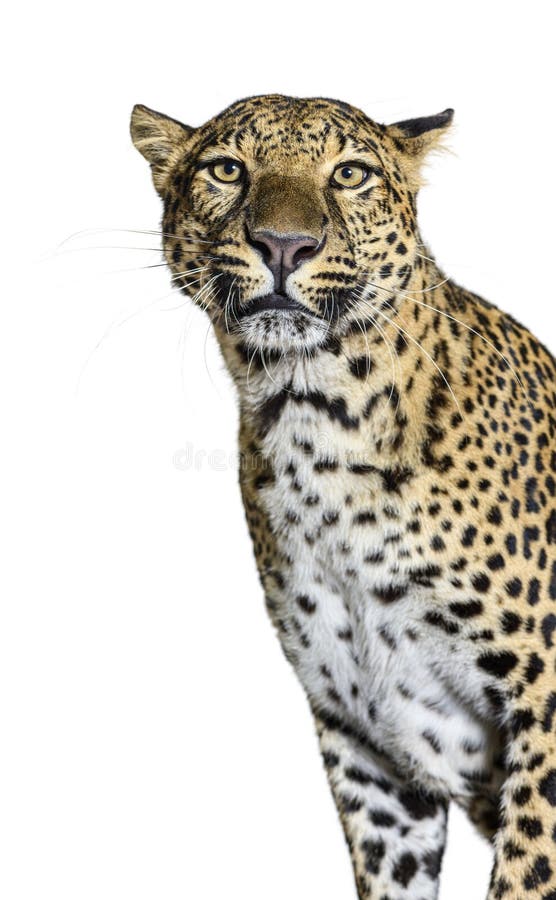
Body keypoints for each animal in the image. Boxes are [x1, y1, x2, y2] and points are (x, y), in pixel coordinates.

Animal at [130, 94, 556, 899]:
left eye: (350, 173)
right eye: (227, 170)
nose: (283, 245)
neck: (315, 419)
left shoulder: (544, 704)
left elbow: (529, 867)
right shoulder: (368, 742)